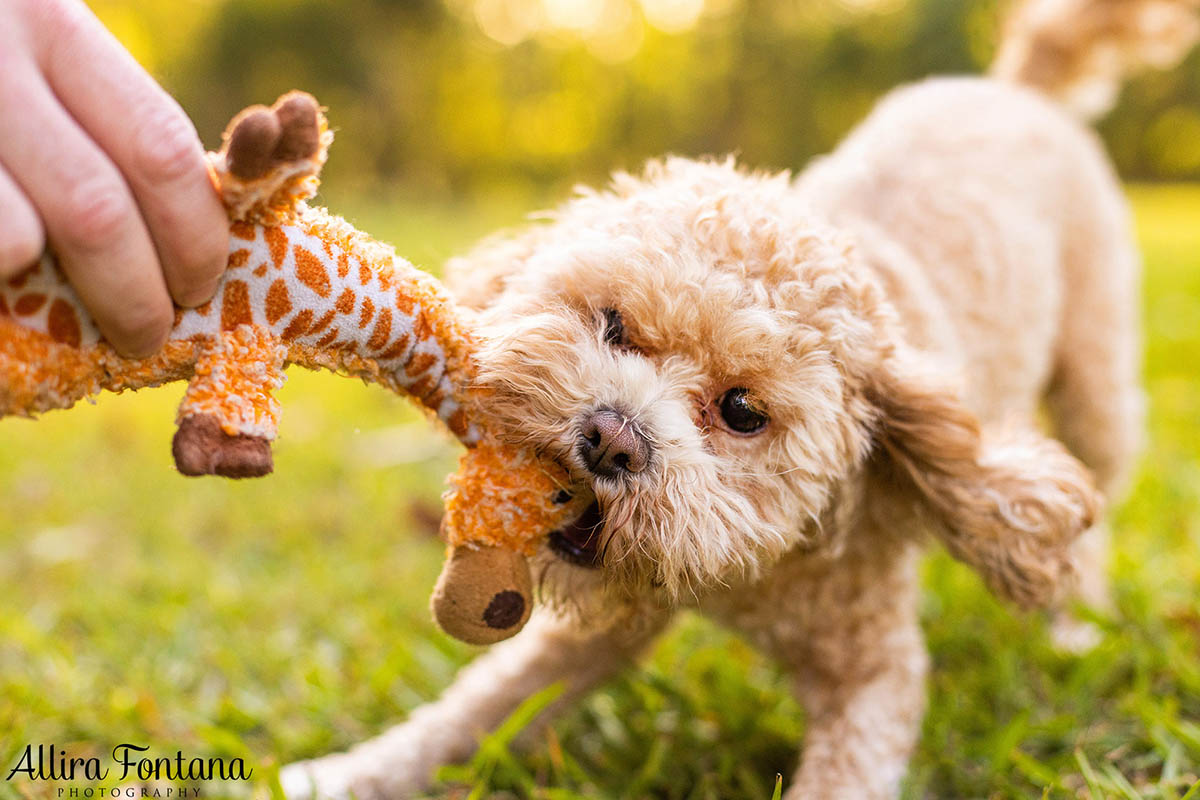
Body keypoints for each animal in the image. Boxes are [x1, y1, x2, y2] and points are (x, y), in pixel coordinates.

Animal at [283, 3, 1200, 796]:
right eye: (614, 326)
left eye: (742, 413)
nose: (610, 438)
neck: (750, 570)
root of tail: (1017, 86)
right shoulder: (597, 624)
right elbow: (475, 713)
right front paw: (337, 776)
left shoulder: (875, 671)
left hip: (1095, 375)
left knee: (1089, 501)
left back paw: (1075, 626)